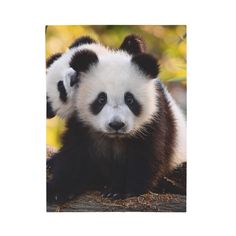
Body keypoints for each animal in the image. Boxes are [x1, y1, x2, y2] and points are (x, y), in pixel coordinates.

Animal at [46, 34, 186, 202]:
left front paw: (121, 190)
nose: (116, 124)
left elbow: (146, 156)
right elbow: (73, 158)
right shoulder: (81, 126)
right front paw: (57, 190)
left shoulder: (153, 120)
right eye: (101, 99)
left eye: (130, 99)